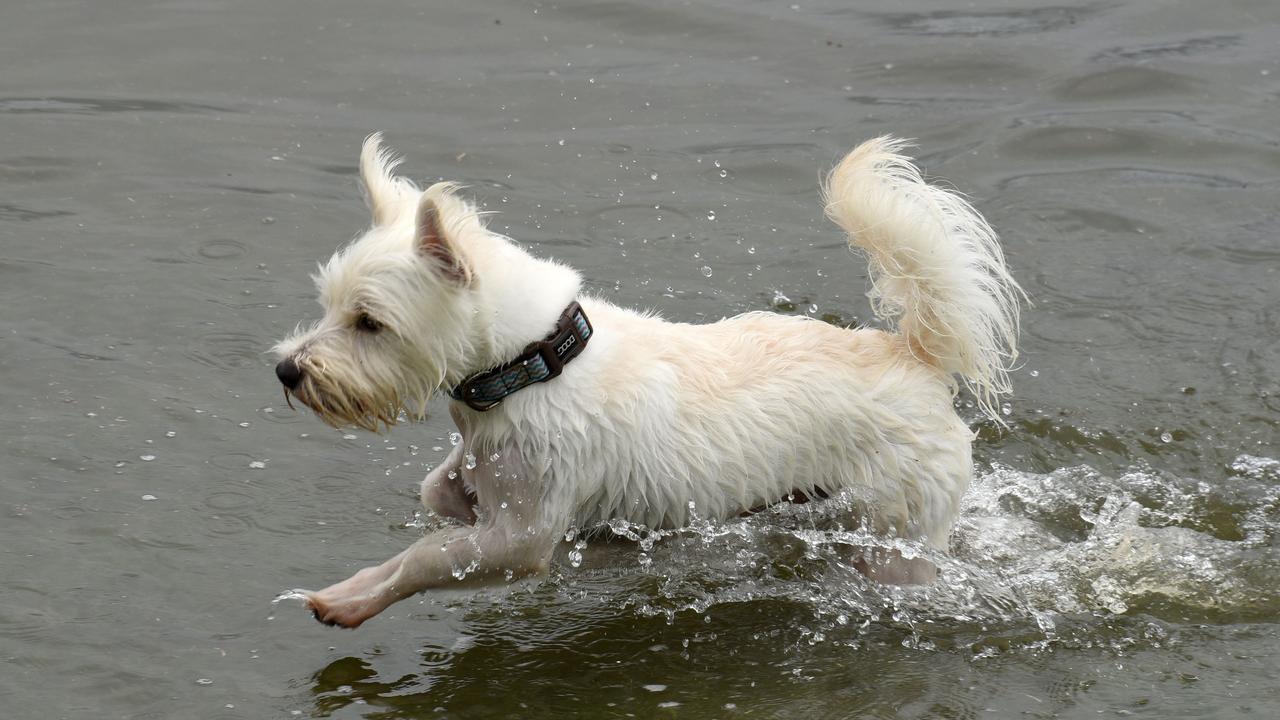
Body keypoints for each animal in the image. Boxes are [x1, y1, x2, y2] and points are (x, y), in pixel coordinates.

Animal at [270, 134, 1018, 627]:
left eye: (369, 323)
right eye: (329, 306)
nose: (287, 369)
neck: (536, 364)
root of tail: (914, 359)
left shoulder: (519, 542)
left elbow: (425, 559)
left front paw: (351, 597)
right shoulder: (491, 485)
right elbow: (438, 494)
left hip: (896, 539)